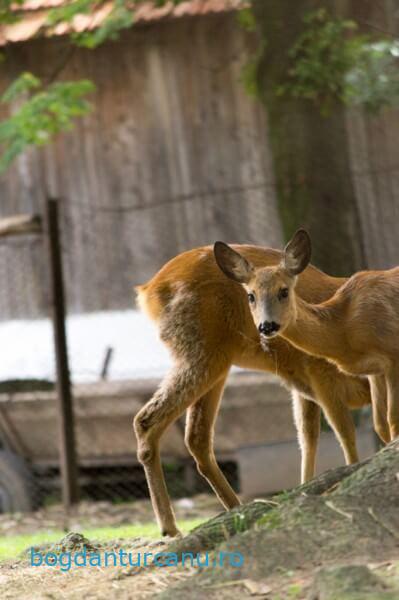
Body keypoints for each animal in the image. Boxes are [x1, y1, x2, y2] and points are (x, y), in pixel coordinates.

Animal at [134, 244, 376, 540]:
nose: (267, 326)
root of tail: (150, 289)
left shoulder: (306, 381)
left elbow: (308, 435)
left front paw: (306, 490)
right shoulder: (322, 372)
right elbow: (345, 432)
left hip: (216, 360)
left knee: (196, 437)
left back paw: (236, 510)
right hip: (202, 351)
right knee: (147, 420)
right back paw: (170, 526)